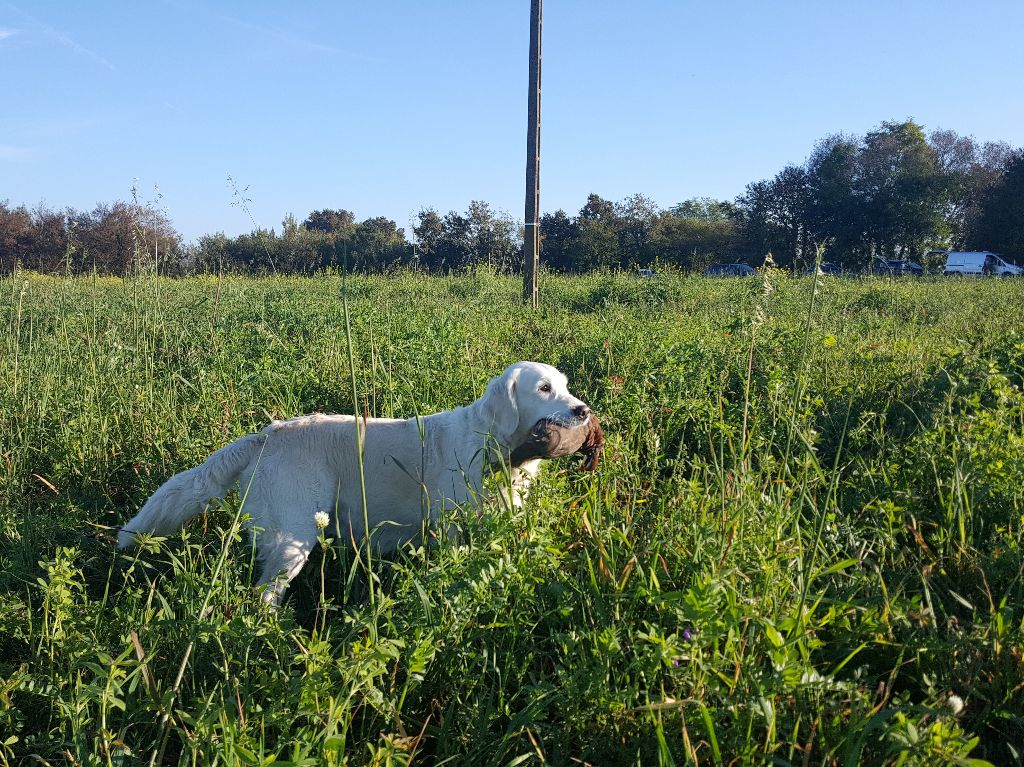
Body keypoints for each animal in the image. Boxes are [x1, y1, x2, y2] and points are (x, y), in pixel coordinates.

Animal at [119, 360, 598, 606]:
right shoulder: (450, 529)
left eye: (566, 386)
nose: (583, 411)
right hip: (295, 536)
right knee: (264, 594)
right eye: (544, 388)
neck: (496, 449)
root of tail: (267, 434)